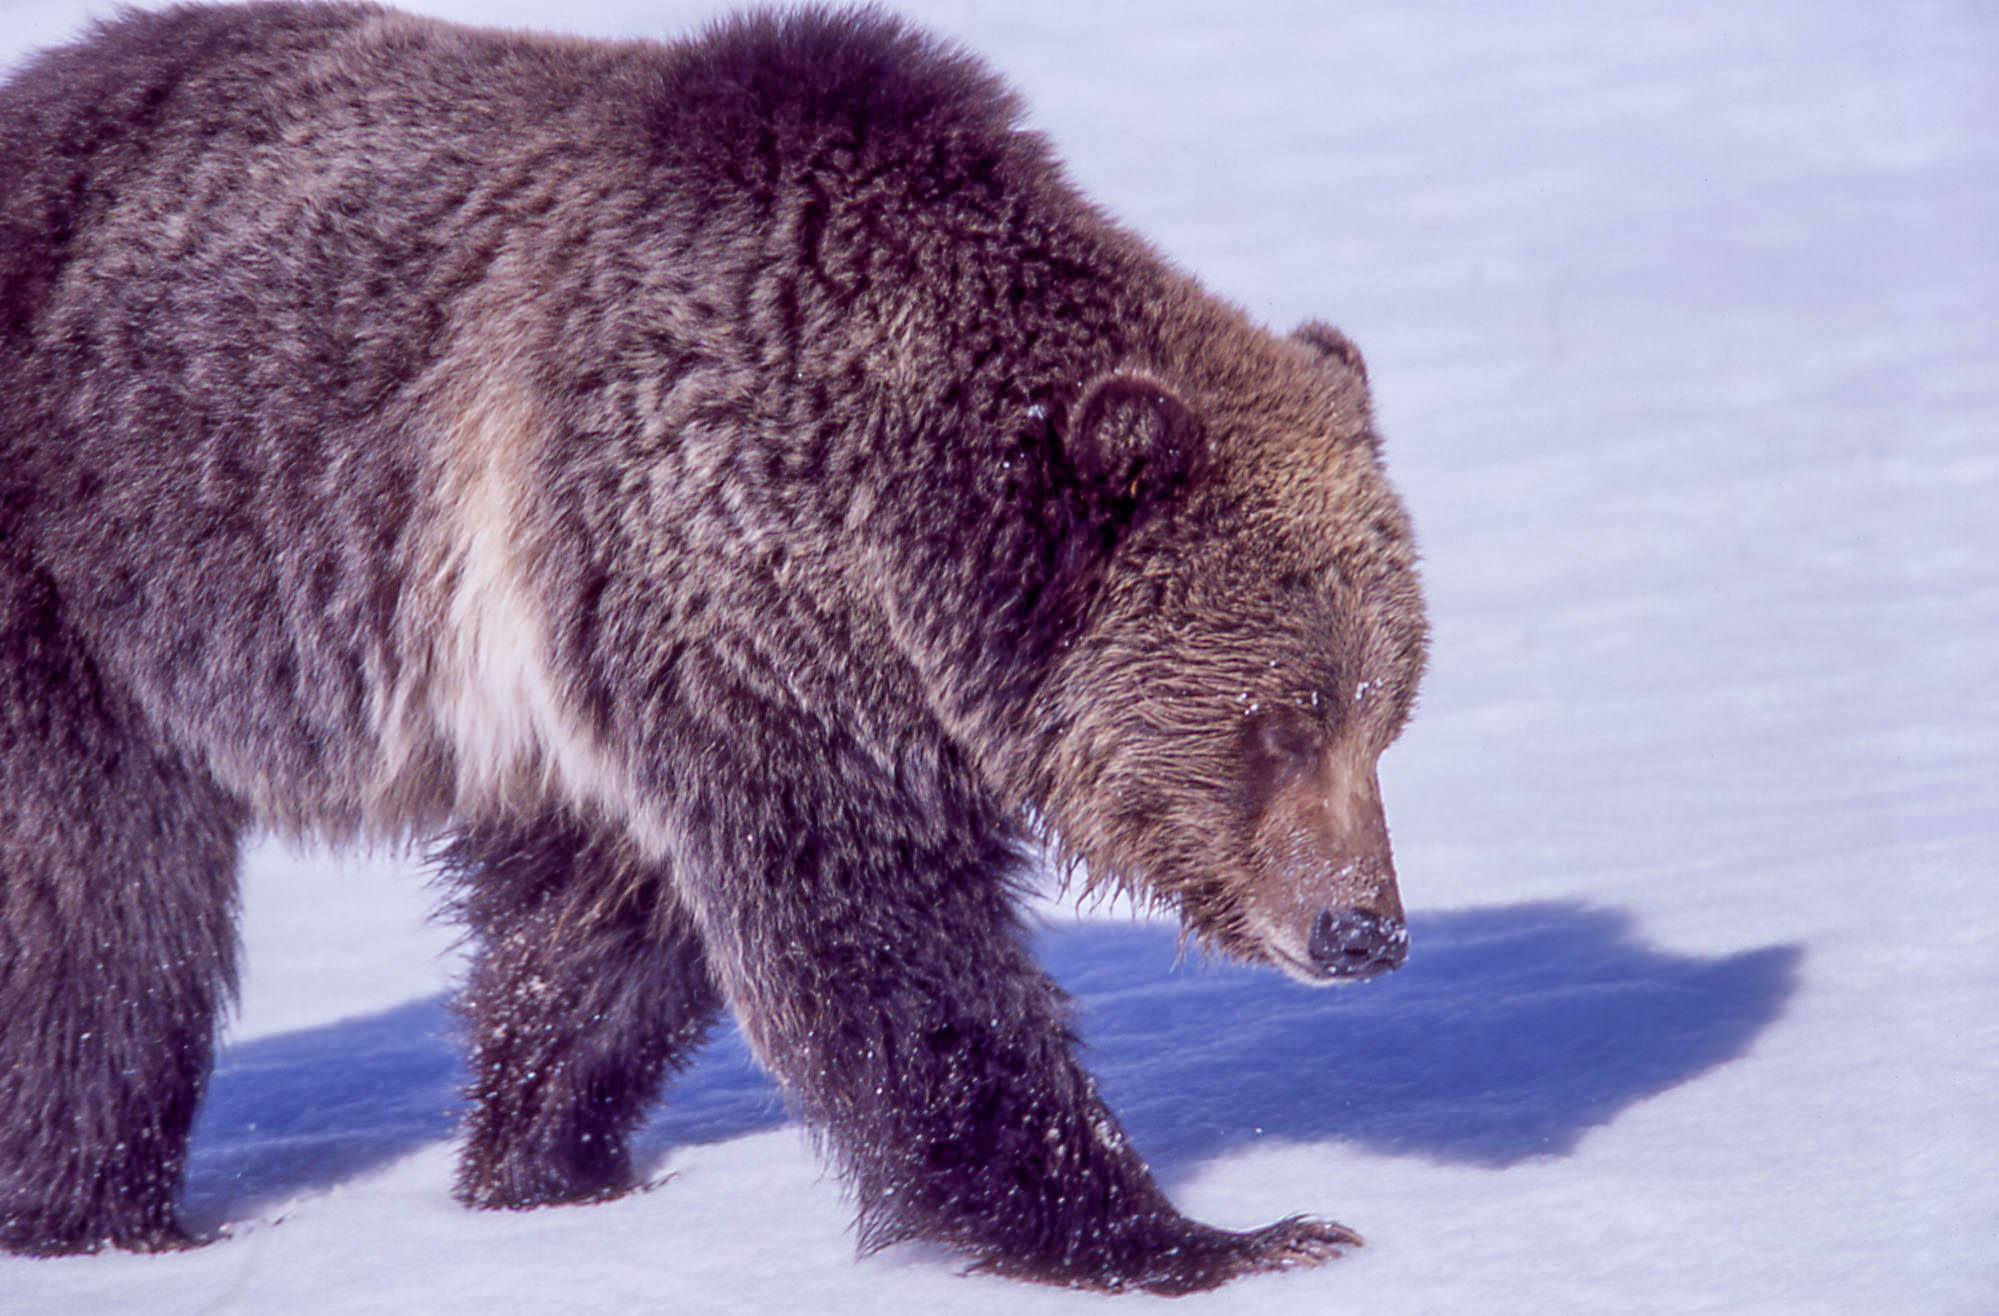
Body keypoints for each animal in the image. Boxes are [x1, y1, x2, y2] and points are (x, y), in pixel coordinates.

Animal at [0, 1, 1428, 1293]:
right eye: (1279, 716)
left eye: (1383, 710)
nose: (1362, 928)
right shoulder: (723, 574)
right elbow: (880, 941)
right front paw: (1202, 1232)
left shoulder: (620, 670)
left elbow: (595, 938)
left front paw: (542, 1158)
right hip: (85, 567)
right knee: (100, 907)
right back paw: (100, 1207)